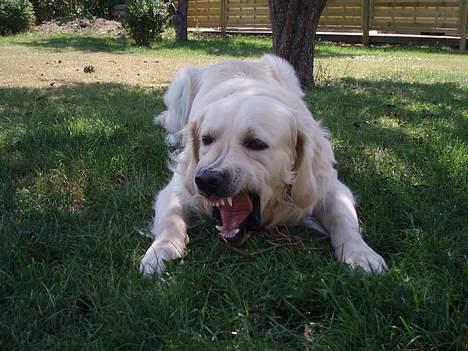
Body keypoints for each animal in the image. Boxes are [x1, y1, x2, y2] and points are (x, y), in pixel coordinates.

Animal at [140, 54, 388, 276]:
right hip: (182, 84)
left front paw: (361, 253)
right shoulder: (178, 188)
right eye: (206, 139)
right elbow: (170, 220)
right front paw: (159, 252)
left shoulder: (329, 186)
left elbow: (343, 219)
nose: (206, 180)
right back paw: (174, 138)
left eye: (256, 144)